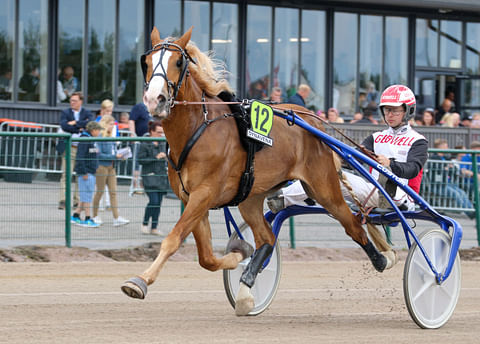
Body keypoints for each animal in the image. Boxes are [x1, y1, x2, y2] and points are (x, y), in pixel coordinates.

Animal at [121, 28, 394, 316]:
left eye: (177, 62)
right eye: (147, 62)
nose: (154, 99)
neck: (199, 128)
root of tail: (312, 120)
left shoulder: (204, 194)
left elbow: (173, 240)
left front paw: (140, 281)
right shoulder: (193, 199)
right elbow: (207, 257)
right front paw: (239, 253)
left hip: (324, 189)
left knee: (353, 225)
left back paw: (383, 259)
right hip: (250, 198)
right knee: (267, 237)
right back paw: (246, 288)